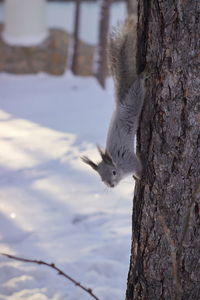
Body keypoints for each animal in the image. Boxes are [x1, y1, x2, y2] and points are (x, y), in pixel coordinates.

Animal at [81, 15, 145, 188]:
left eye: (113, 173)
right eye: (101, 179)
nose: (111, 185)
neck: (119, 164)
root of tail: (120, 105)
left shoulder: (130, 161)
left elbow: (139, 167)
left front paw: (140, 177)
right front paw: (136, 178)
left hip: (133, 102)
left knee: (138, 89)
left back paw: (144, 75)